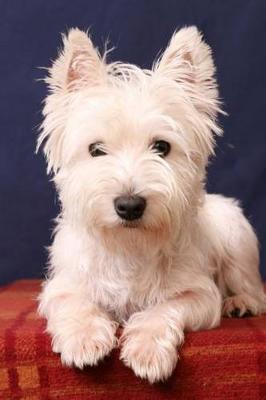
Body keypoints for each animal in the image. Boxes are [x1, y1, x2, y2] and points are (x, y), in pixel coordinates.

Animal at [38, 26, 266, 382]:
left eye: (162, 147)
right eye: (96, 149)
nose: (129, 205)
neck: (130, 246)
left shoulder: (200, 294)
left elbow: (164, 307)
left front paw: (146, 349)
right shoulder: (62, 286)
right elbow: (76, 304)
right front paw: (84, 338)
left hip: (237, 239)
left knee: (252, 286)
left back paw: (242, 303)